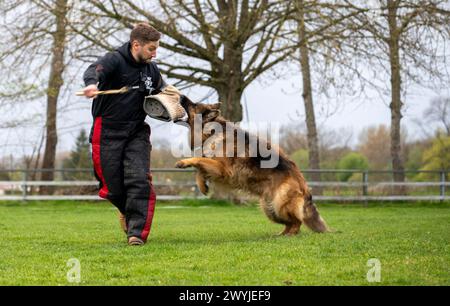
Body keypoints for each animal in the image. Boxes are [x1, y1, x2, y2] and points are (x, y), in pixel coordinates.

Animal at [174, 97, 328, 235]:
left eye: (193, 104)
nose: (181, 97)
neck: (211, 131)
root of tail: (304, 184)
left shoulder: (222, 169)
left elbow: (199, 160)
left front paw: (184, 162)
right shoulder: (216, 168)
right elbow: (200, 170)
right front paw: (202, 186)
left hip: (279, 204)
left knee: (297, 221)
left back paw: (291, 234)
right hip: (268, 208)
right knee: (289, 222)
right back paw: (282, 234)